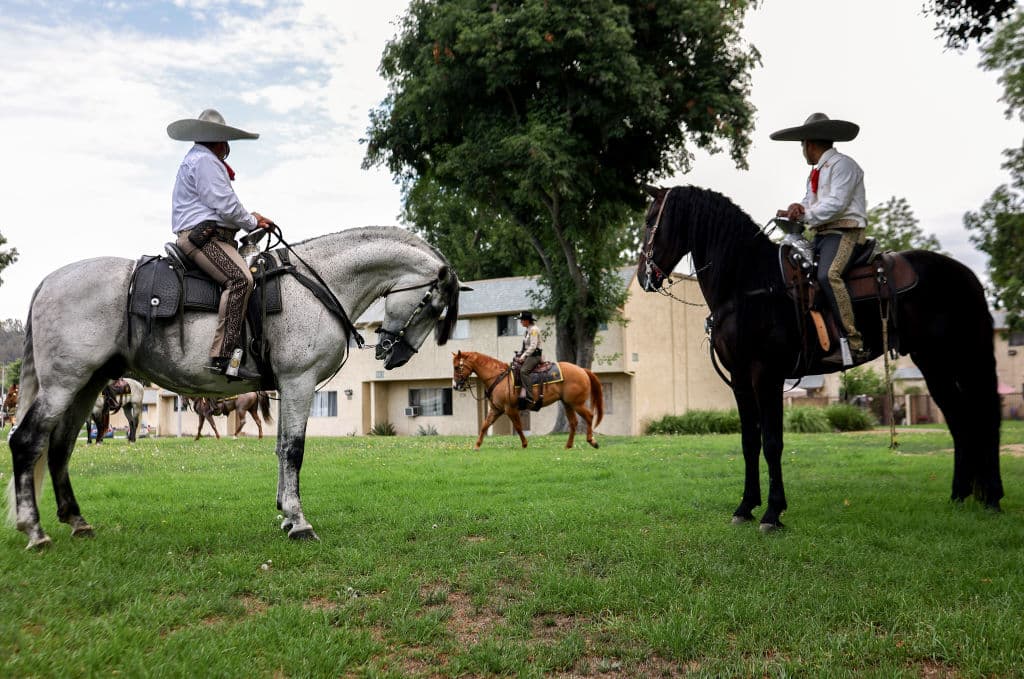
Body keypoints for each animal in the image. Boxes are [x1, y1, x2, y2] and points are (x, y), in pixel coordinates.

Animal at [6, 226, 463, 548]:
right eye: (433, 306)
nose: (394, 354)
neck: (315, 285)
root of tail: (48, 282)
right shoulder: (299, 382)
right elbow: (293, 450)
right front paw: (299, 522)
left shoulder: (289, 388)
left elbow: (280, 448)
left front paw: (285, 515)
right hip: (64, 383)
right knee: (27, 441)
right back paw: (35, 531)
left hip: (88, 384)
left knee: (60, 447)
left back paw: (76, 521)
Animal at [451, 350, 604, 449]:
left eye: (457, 367)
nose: (455, 386)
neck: (499, 378)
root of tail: (582, 370)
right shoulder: (496, 409)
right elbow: (484, 425)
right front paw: (477, 446)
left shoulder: (510, 409)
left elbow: (518, 427)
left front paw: (524, 444)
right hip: (567, 404)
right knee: (573, 422)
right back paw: (568, 445)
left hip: (577, 403)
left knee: (589, 416)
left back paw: (592, 441)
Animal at [636, 185, 1002, 530]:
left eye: (651, 220)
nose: (643, 277)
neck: (748, 285)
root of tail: (968, 276)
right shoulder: (741, 379)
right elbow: (749, 441)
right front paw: (745, 507)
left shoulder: (766, 375)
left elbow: (772, 442)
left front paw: (772, 513)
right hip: (934, 363)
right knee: (959, 421)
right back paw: (960, 495)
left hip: (966, 358)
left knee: (986, 417)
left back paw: (992, 498)